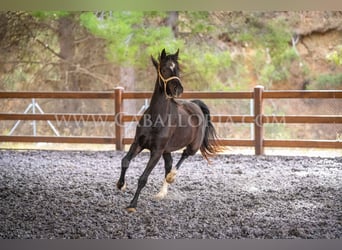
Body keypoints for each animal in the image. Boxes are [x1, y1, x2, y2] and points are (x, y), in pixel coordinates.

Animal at [116, 47, 220, 212]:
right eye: (164, 69)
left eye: (177, 69)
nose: (178, 89)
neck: (156, 118)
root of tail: (195, 105)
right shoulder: (138, 143)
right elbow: (125, 161)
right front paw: (121, 185)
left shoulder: (157, 151)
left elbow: (143, 178)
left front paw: (132, 204)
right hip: (167, 149)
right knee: (169, 164)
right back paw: (161, 193)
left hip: (192, 146)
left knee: (183, 156)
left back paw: (171, 177)